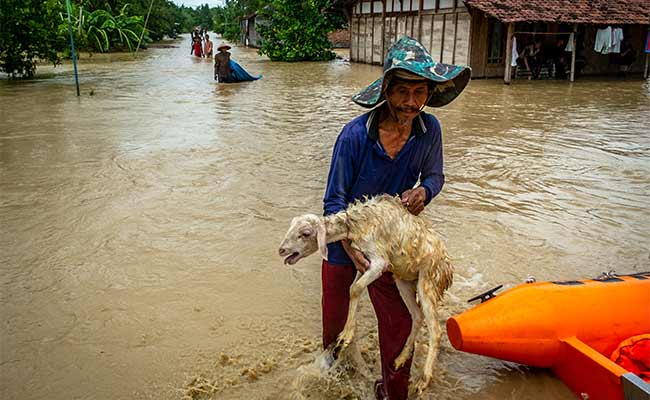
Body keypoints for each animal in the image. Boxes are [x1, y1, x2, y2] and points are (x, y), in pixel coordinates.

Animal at [278, 195, 450, 394]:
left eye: (305, 233)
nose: (281, 250)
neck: (355, 224)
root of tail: (448, 265)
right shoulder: (363, 262)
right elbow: (353, 288)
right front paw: (346, 337)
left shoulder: (380, 261)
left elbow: (356, 289)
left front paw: (345, 336)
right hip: (404, 280)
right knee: (417, 315)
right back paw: (400, 358)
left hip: (428, 279)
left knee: (435, 330)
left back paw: (423, 379)